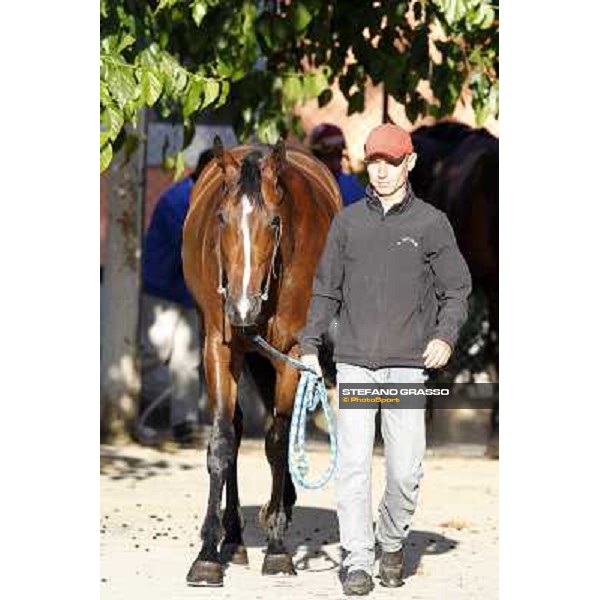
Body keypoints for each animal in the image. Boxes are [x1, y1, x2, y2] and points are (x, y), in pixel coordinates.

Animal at [180, 137, 340, 584]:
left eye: (273, 222)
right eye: (221, 217)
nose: (241, 308)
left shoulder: (292, 353)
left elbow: (278, 440)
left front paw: (278, 547)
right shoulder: (219, 346)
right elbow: (222, 442)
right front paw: (206, 555)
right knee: (235, 430)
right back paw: (233, 538)